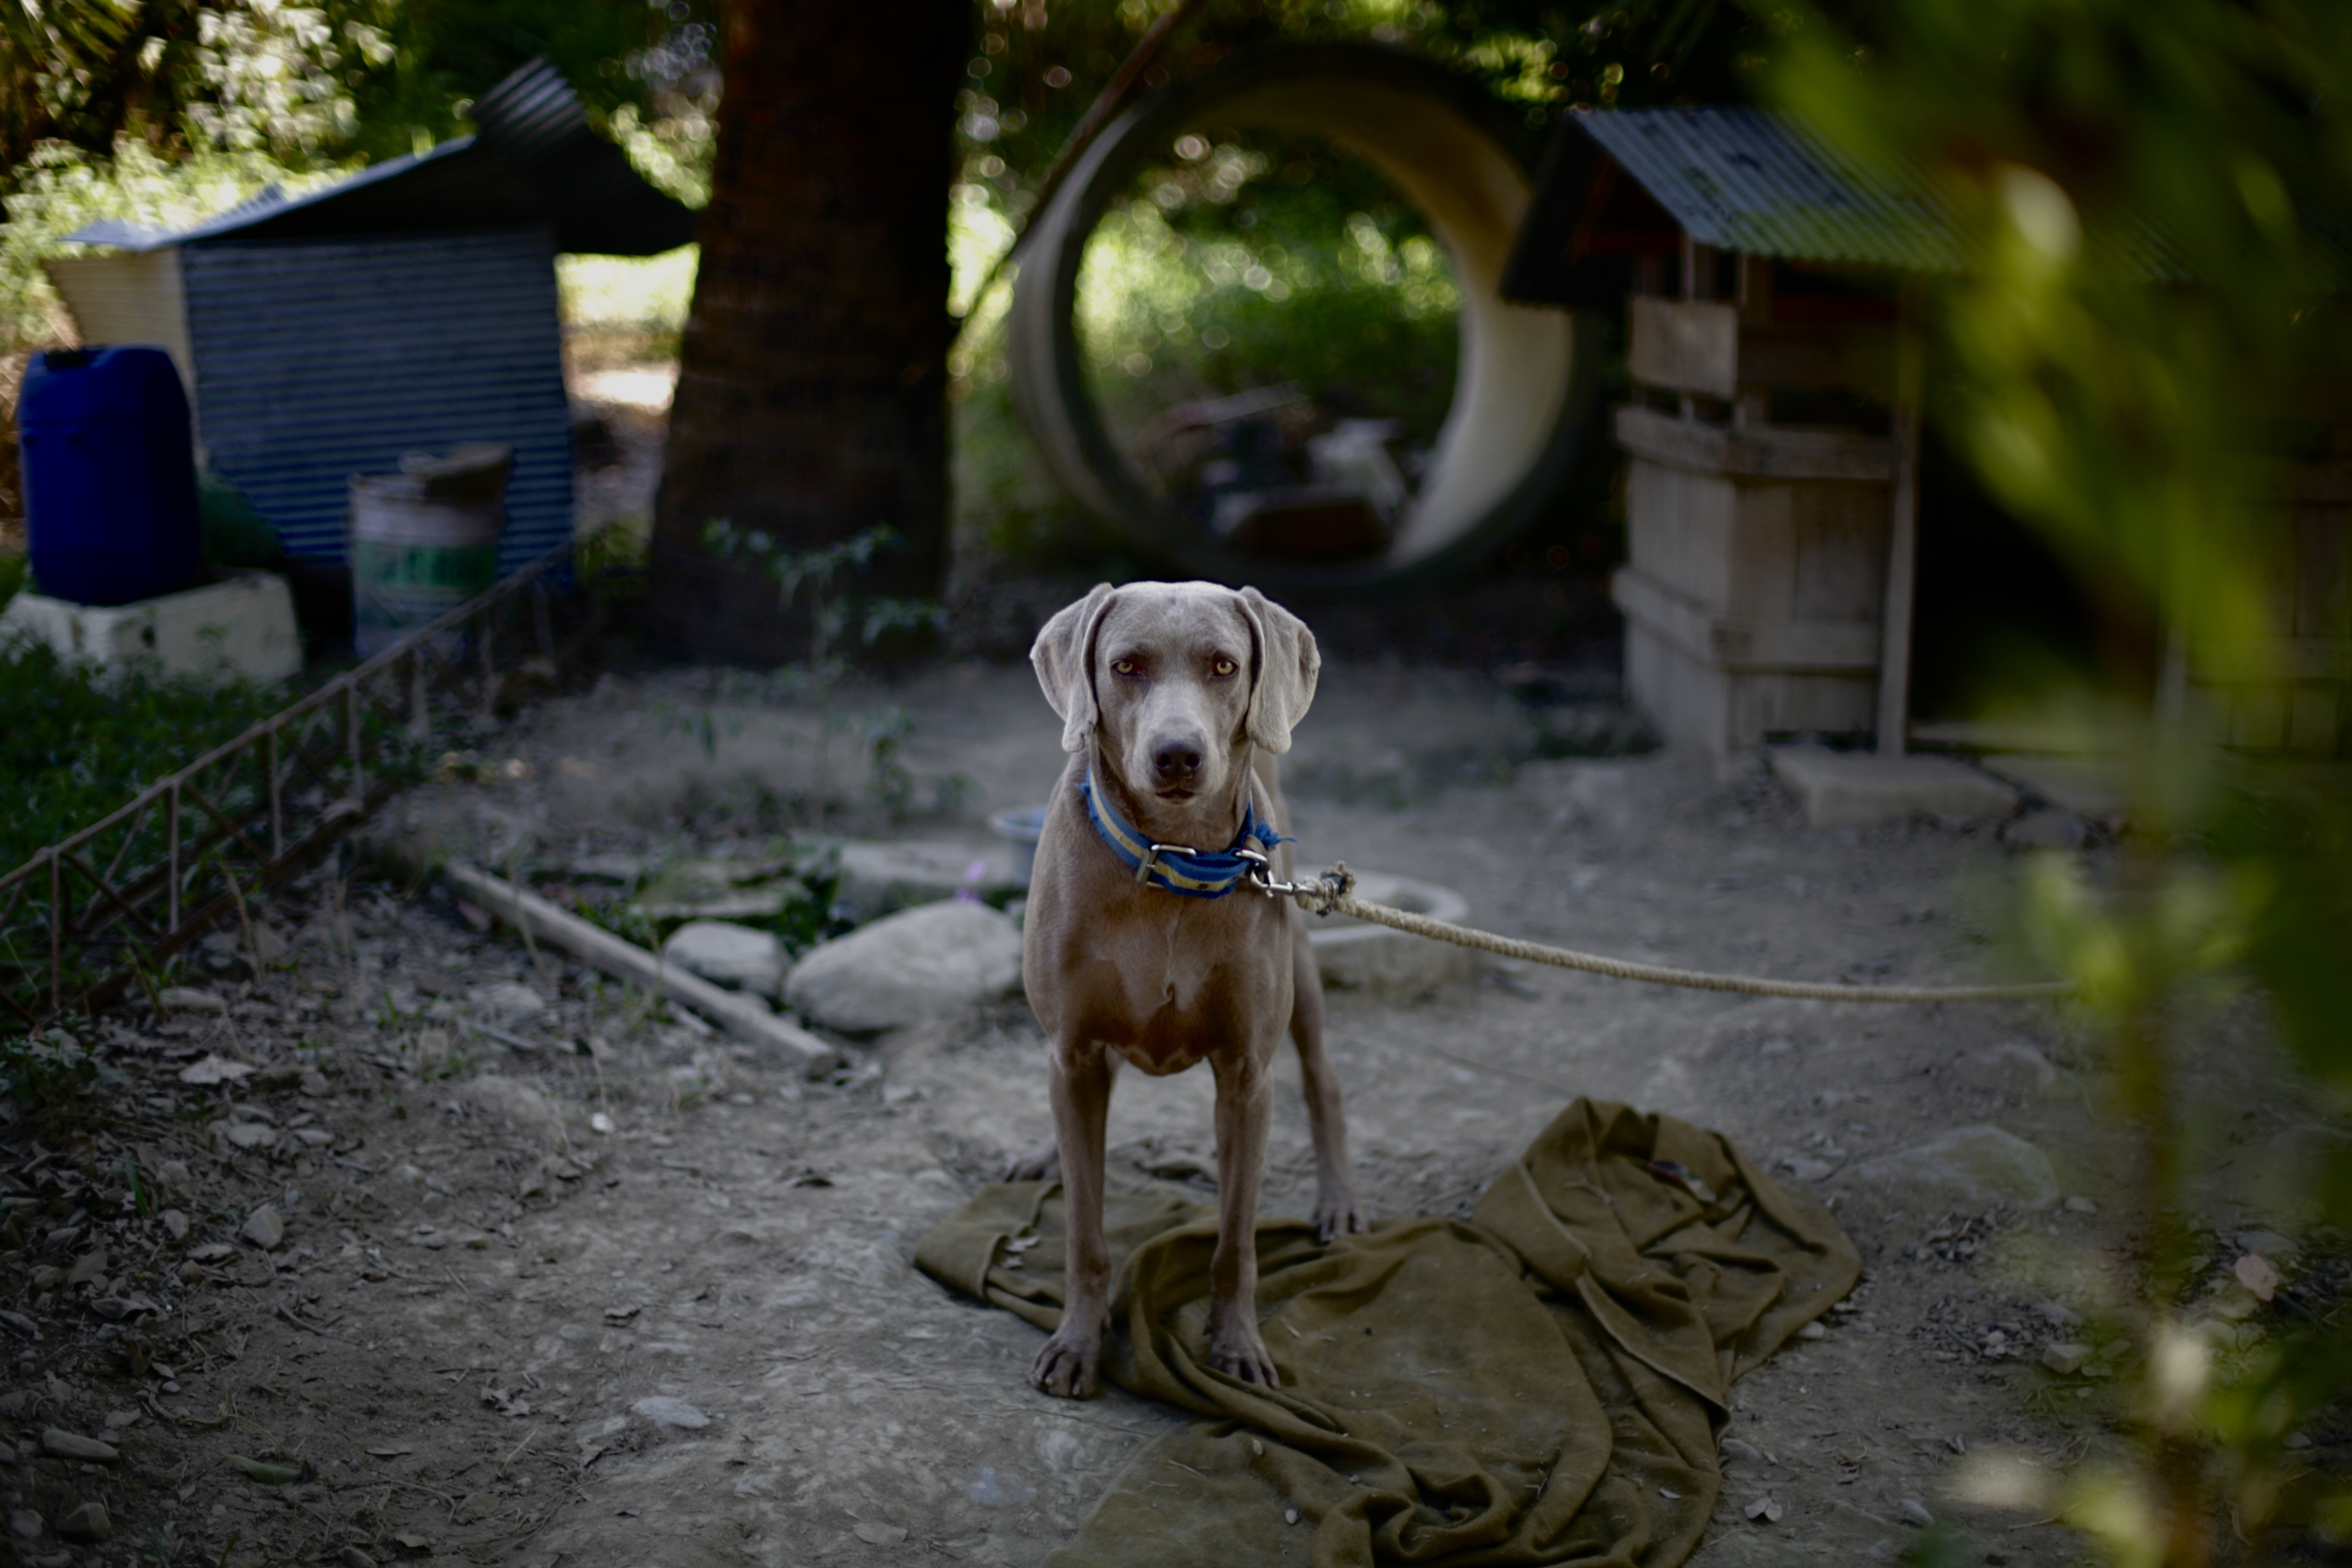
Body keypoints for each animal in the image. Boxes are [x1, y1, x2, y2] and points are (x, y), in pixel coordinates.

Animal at [1006, 585, 1373, 1401]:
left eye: (1223, 665)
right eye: (1126, 666)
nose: (1178, 754)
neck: (1172, 858)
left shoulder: (1245, 1076)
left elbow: (1236, 1238)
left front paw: (1237, 1344)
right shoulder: (1074, 1051)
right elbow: (1085, 1227)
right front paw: (1077, 1343)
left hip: (1302, 969)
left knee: (1325, 1080)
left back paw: (1337, 1201)